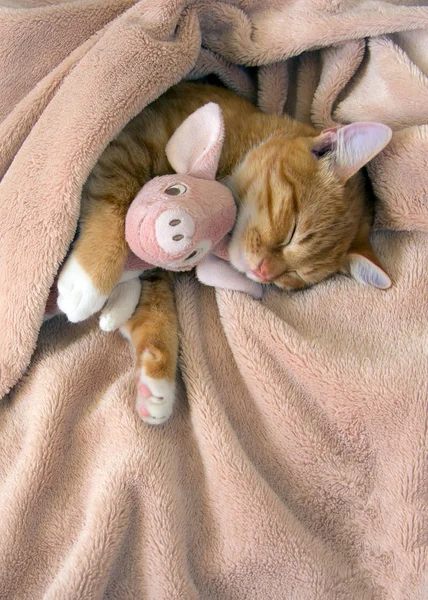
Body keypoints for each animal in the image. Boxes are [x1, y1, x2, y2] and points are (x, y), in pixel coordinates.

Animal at [56, 82, 392, 424]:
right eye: (292, 231)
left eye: (295, 277)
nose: (263, 273)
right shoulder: (125, 146)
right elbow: (113, 207)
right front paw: (88, 281)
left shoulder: (160, 266)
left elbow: (156, 309)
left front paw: (157, 382)